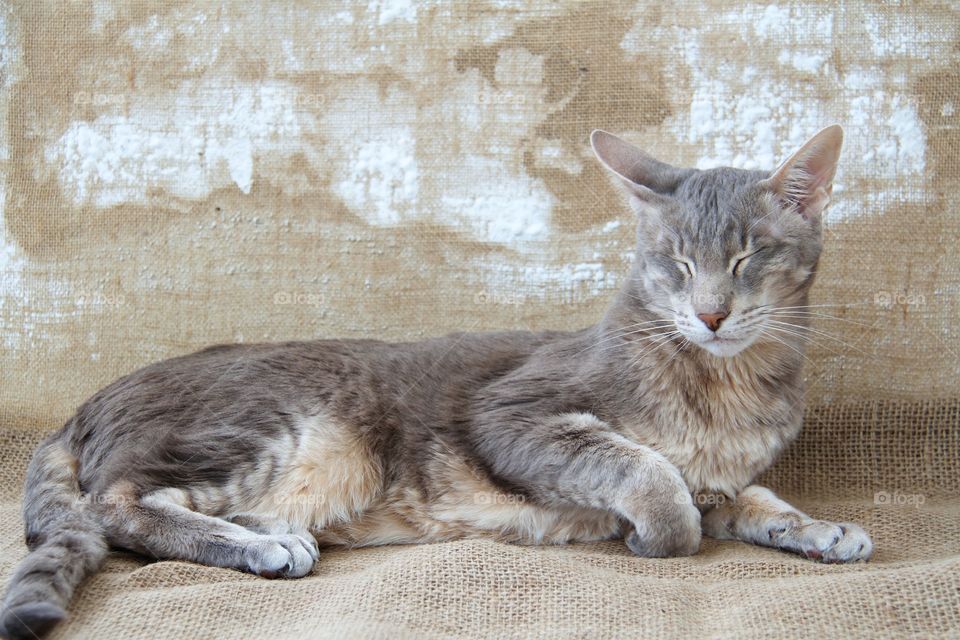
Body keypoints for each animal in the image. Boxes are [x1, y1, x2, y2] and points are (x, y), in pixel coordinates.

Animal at [0, 125, 872, 640]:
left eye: (749, 256)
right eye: (676, 264)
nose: (712, 313)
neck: (727, 388)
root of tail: (81, 408)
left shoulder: (725, 476)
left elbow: (755, 497)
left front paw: (820, 528)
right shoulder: (515, 413)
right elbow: (644, 469)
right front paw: (659, 530)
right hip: (277, 428)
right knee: (119, 506)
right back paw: (262, 543)